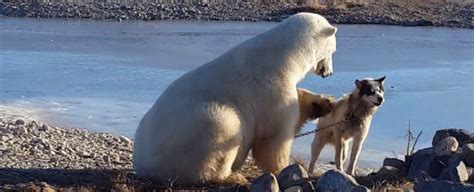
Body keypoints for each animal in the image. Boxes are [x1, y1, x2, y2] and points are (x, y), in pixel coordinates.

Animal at [133, 12, 336, 184]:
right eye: (333, 50)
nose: (329, 72)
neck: (284, 56)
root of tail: (141, 163)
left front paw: (323, 103)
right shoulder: (271, 89)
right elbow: (274, 137)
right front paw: (283, 168)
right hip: (193, 130)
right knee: (224, 127)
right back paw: (231, 175)